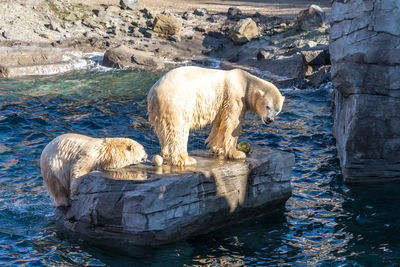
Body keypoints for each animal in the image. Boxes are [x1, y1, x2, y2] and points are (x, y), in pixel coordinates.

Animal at [147, 66, 284, 166]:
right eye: (268, 106)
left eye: (277, 110)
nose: (269, 120)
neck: (246, 82)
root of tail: (154, 92)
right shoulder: (235, 97)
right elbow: (233, 124)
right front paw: (237, 153)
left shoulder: (222, 103)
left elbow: (221, 124)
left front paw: (217, 148)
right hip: (177, 102)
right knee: (178, 131)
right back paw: (185, 159)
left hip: (157, 111)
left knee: (163, 130)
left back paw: (166, 154)